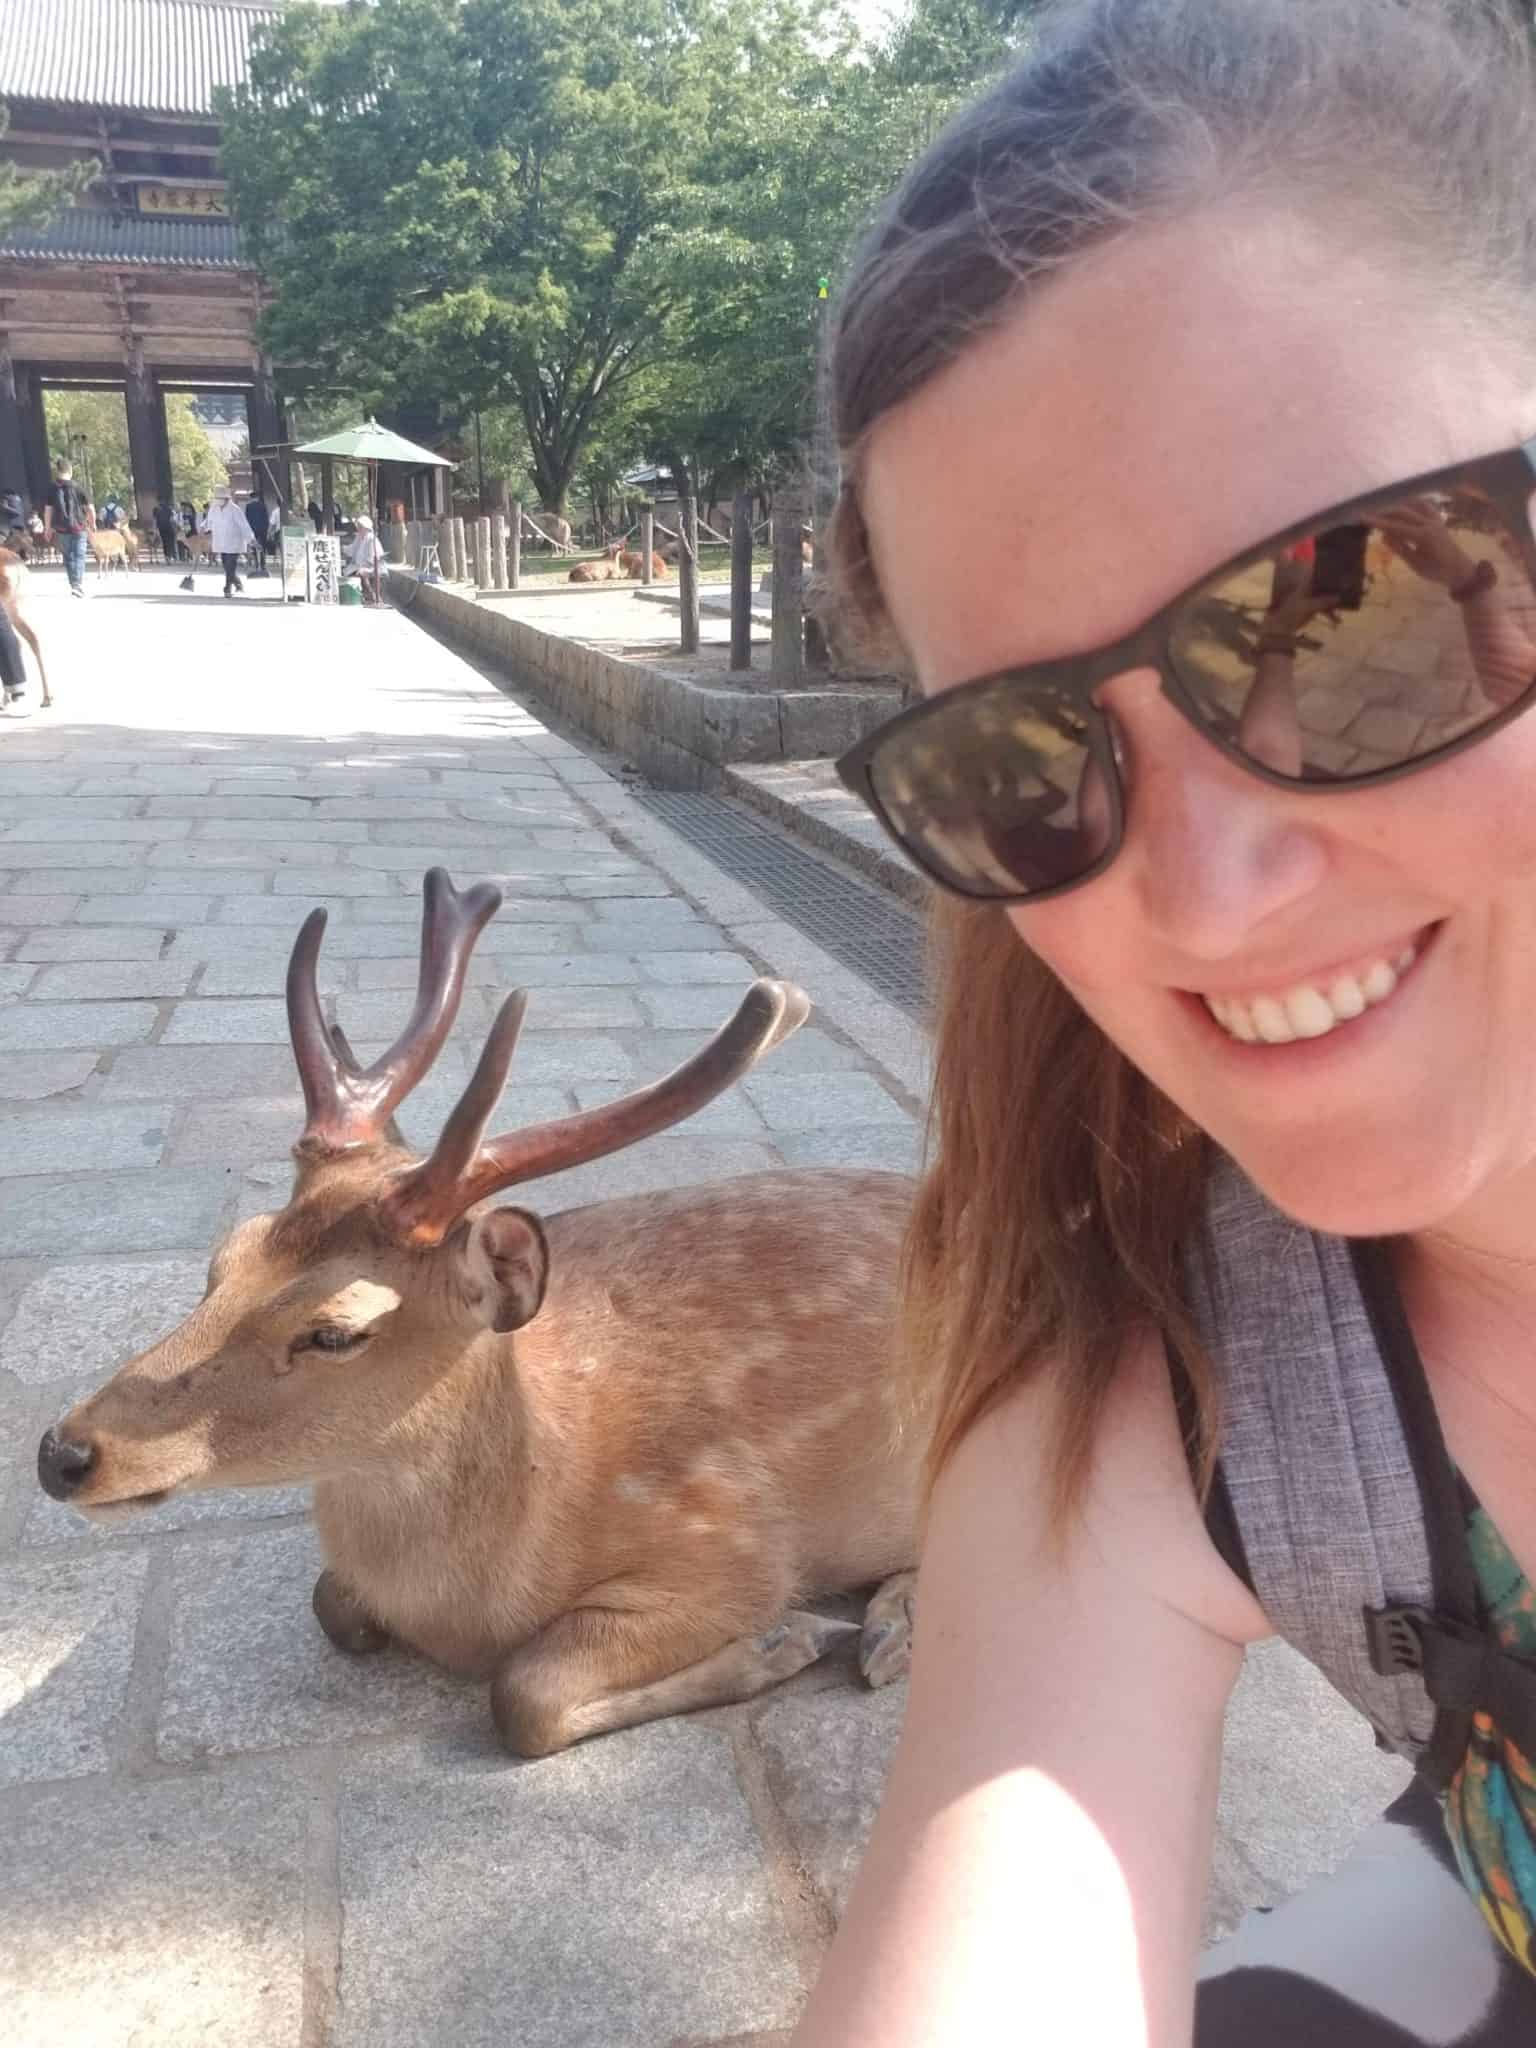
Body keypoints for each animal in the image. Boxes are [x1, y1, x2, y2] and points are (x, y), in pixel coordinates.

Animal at [39, 872, 925, 1753]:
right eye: (225, 1256)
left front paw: (788, 1638)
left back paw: (888, 1628)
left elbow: (524, 1695)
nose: (61, 1453)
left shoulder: (733, 1548)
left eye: (335, 1331)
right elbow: (334, 1605)